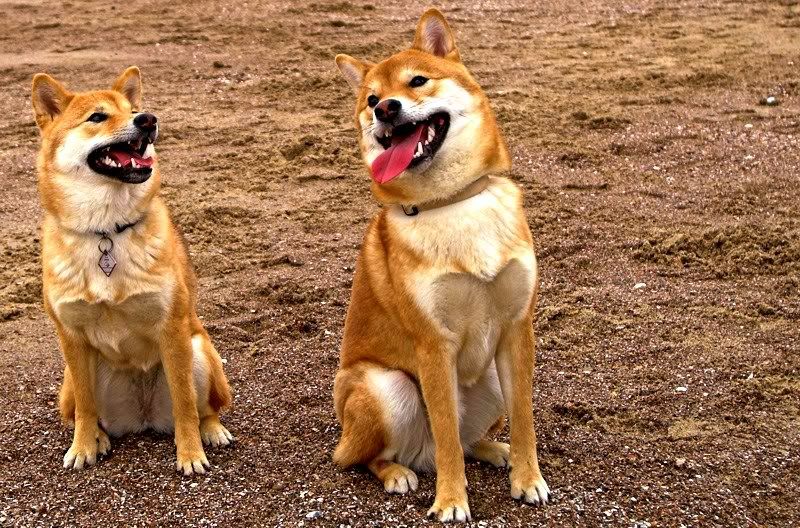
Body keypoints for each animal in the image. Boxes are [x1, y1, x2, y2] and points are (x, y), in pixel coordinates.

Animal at [31, 67, 231, 474]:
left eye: (133, 110)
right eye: (97, 117)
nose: (148, 120)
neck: (106, 230)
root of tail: (142, 418)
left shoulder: (173, 330)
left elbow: (185, 402)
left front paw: (189, 454)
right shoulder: (71, 338)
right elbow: (86, 409)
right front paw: (83, 447)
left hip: (199, 349)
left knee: (205, 407)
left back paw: (211, 430)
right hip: (70, 380)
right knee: (85, 412)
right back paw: (100, 437)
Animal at [332, 8, 552, 524]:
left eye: (417, 81)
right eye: (370, 98)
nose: (385, 110)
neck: (450, 202)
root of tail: (420, 455)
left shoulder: (517, 329)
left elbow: (524, 418)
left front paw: (528, 478)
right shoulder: (434, 345)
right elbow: (448, 435)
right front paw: (452, 501)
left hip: (490, 377)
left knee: (467, 440)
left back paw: (494, 450)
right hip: (387, 386)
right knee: (365, 456)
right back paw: (397, 473)